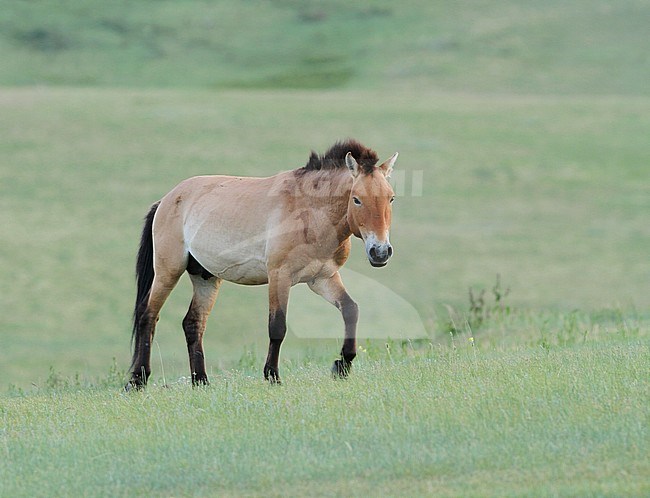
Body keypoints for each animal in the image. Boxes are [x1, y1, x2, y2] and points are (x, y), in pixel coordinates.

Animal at [126, 140, 394, 390]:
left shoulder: (322, 278)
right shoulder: (279, 276)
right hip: (168, 271)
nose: (380, 252)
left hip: (205, 277)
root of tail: (166, 200)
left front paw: (342, 365)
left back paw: (200, 381)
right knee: (148, 316)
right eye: (357, 200)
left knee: (193, 323)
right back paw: (137, 380)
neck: (309, 210)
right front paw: (272, 376)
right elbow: (277, 327)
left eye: (391, 198)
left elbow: (351, 310)